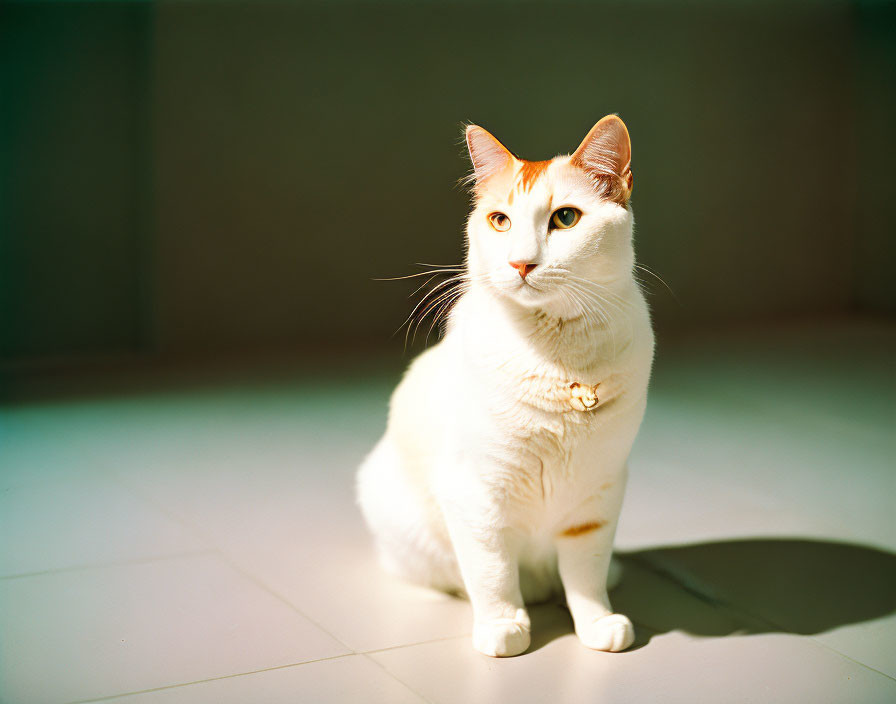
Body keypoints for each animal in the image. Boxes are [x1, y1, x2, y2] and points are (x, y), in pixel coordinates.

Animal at [354, 117, 656, 660]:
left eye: (565, 218)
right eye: (499, 221)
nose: (520, 263)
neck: (558, 358)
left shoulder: (597, 495)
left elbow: (586, 572)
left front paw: (597, 623)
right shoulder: (476, 496)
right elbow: (492, 571)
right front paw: (503, 627)